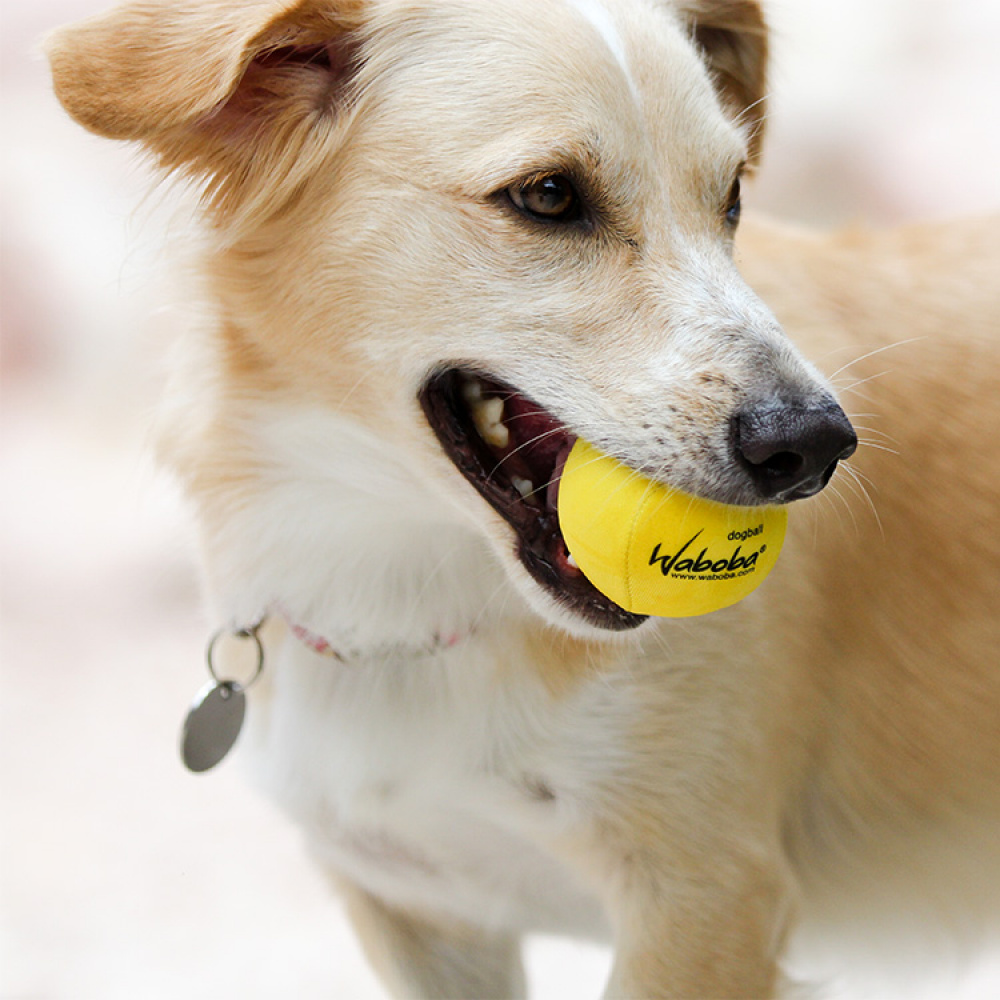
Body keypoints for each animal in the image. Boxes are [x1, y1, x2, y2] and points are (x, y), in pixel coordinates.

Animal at [48, 0, 1000, 996]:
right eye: (547, 196)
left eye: (731, 197)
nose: (814, 446)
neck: (402, 601)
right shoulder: (421, 911)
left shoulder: (707, 903)